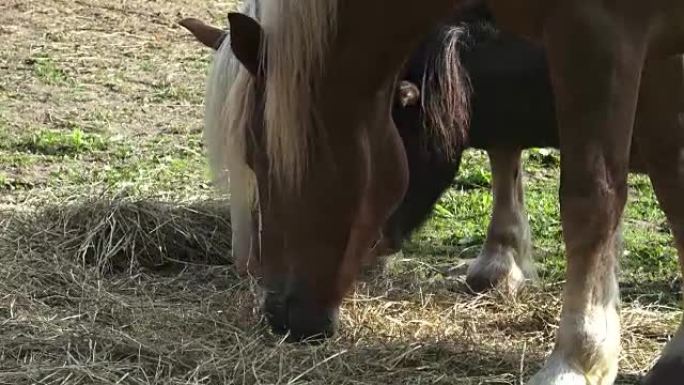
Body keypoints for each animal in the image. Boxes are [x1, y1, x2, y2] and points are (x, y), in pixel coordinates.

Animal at [183, 0, 684, 380]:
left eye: (259, 153)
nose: (278, 315)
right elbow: (671, 179)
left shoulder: (599, 32)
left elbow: (591, 198)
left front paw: (578, 360)